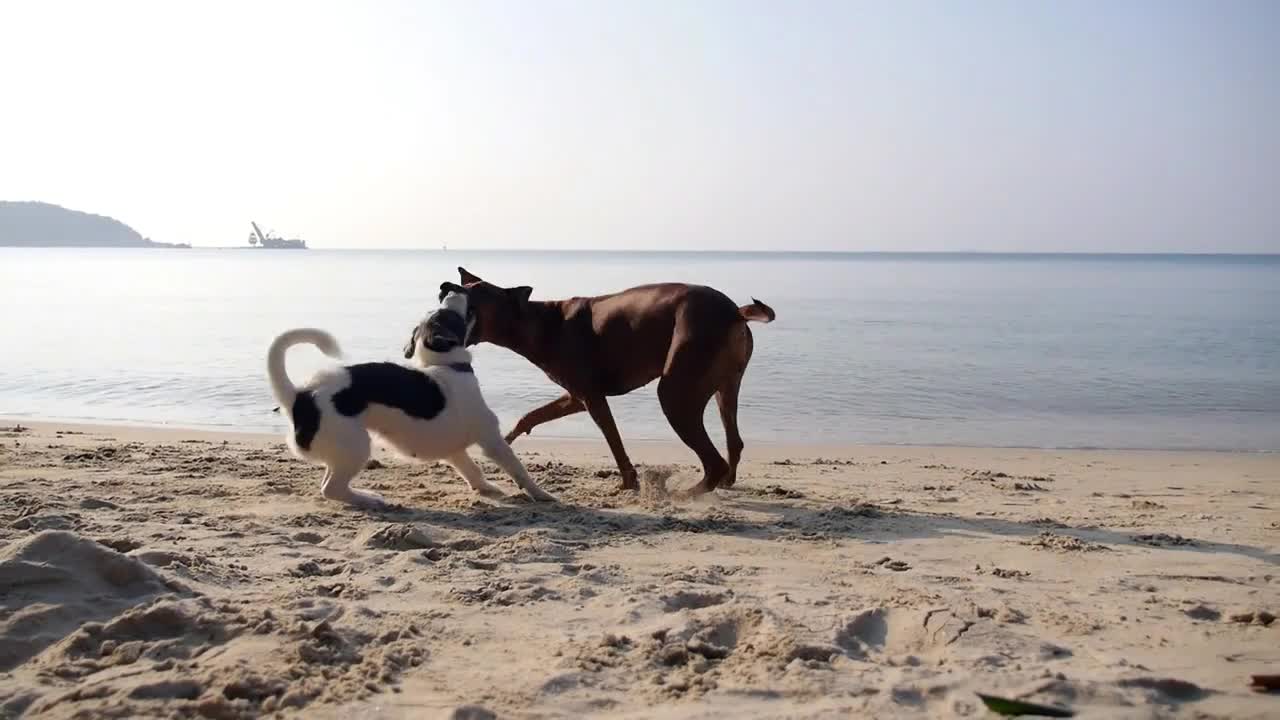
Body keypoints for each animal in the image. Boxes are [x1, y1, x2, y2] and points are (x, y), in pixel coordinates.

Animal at [264, 280, 555, 504]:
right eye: (448, 315)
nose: (449, 286)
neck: (444, 364)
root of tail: (298, 397)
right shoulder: (491, 439)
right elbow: (519, 470)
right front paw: (542, 495)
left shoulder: (454, 450)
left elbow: (471, 470)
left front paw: (485, 488)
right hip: (356, 445)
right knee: (332, 489)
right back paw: (369, 498)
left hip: (340, 452)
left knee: (328, 483)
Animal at [455, 265, 773, 491]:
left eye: (475, 293)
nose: (447, 286)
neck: (539, 322)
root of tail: (735, 312)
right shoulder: (575, 396)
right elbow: (530, 416)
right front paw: (503, 443)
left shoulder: (592, 397)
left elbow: (614, 440)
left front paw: (629, 482)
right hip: (725, 386)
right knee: (734, 441)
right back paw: (726, 482)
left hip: (676, 391)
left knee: (713, 461)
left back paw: (686, 494)